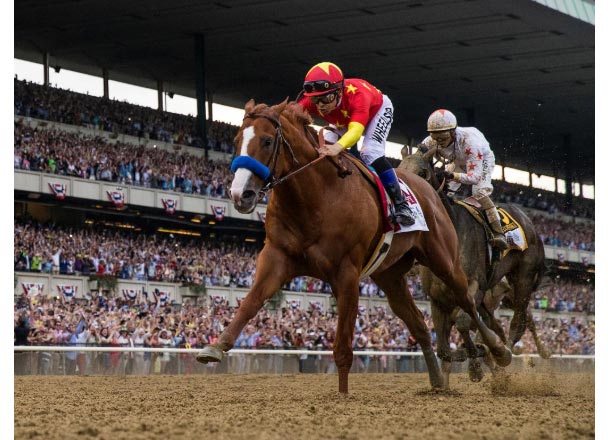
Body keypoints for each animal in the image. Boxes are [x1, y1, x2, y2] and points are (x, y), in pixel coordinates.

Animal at [195, 100, 508, 396]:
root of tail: (430, 192)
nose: (240, 194)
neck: (315, 197)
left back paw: (499, 349)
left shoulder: (345, 273)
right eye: (237, 140)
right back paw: (437, 381)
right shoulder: (276, 258)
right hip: (389, 274)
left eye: (267, 141)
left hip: (443, 259)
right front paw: (215, 347)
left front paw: (343, 395)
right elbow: (251, 301)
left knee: (467, 301)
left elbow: (343, 346)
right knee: (417, 322)